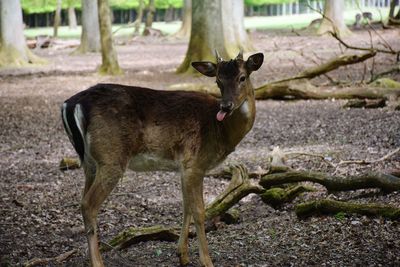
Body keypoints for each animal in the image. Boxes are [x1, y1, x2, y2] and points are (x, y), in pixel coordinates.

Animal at [61, 50, 264, 267]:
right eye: (218, 81)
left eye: (242, 77)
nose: (225, 107)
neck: (221, 132)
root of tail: (71, 104)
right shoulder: (195, 163)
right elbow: (200, 211)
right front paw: (206, 261)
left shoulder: (184, 167)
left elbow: (186, 206)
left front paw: (182, 255)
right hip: (111, 158)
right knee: (88, 205)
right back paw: (98, 263)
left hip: (89, 162)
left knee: (82, 199)